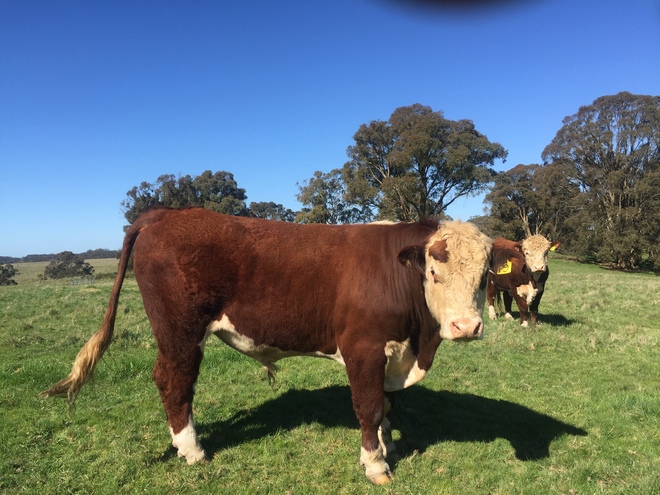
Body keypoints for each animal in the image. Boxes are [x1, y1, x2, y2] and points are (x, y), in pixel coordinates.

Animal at [42, 207, 493, 485]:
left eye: (485, 274)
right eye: (433, 272)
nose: (466, 326)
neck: (418, 343)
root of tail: (168, 213)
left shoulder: (392, 353)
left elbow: (385, 405)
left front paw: (388, 444)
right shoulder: (362, 348)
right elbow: (368, 407)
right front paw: (375, 464)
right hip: (180, 333)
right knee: (174, 381)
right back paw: (192, 449)